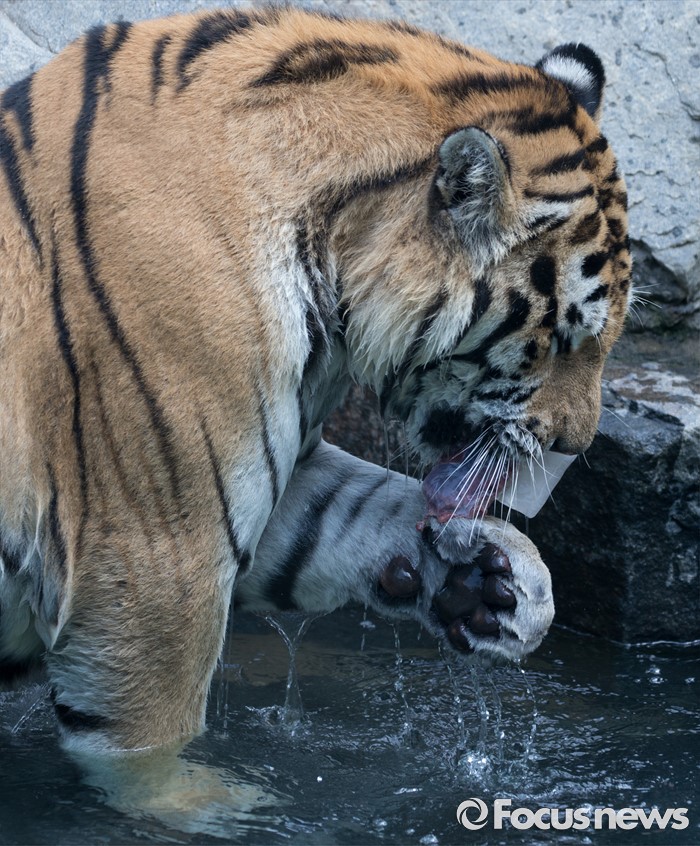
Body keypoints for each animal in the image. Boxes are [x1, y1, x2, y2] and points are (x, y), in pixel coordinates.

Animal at [0, 5, 630, 769]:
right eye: (567, 338)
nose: (579, 442)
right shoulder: (156, 559)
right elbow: (148, 756)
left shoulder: (254, 478)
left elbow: (352, 507)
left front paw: (497, 580)